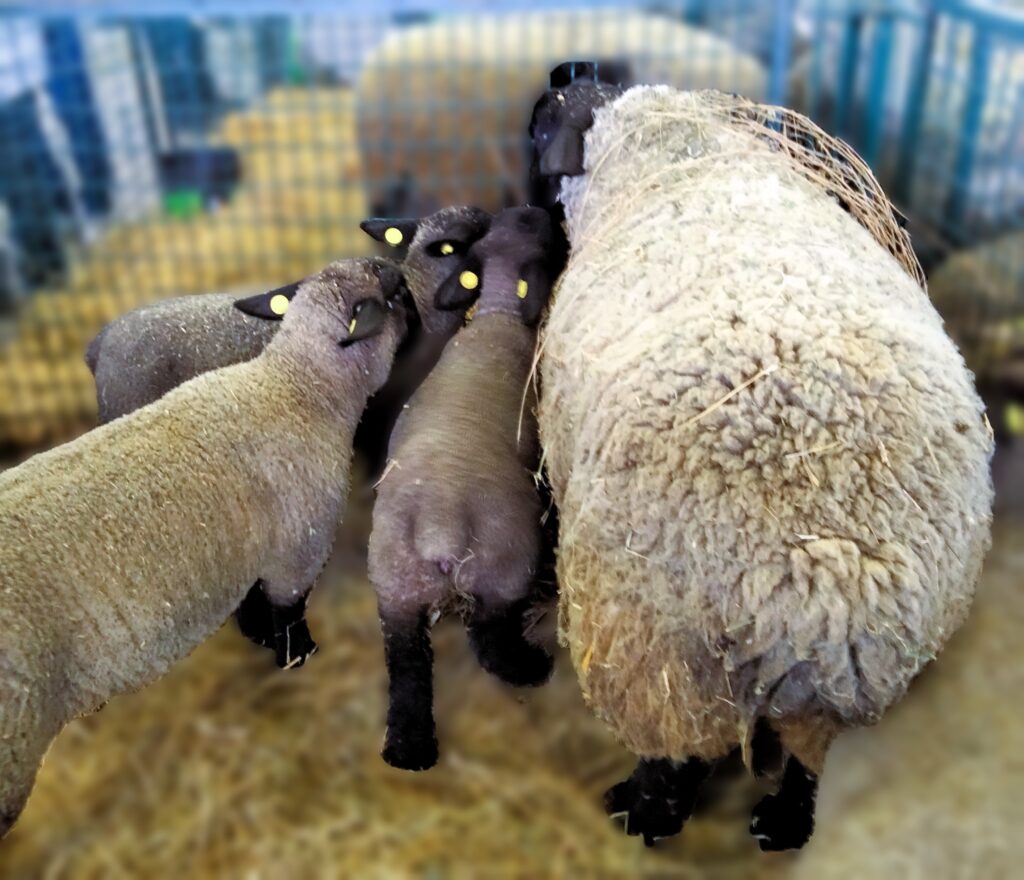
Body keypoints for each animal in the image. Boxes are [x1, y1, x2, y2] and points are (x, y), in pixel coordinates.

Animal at [0, 257, 406, 840]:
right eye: (393, 294)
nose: (401, 276)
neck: (295, 387)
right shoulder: (299, 548)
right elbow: (288, 612)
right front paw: (296, 656)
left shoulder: (259, 551)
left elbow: (256, 603)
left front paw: (258, 637)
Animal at [367, 206, 558, 771]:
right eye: (536, 229)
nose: (536, 209)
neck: (495, 312)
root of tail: (439, 527)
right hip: (503, 570)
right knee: (491, 641)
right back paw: (533, 667)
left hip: (397, 593)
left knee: (407, 669)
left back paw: (408, 752)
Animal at [530, 81, 994, 849]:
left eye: (544, 124)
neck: (670, 148)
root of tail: (824, 576)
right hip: (834, 682)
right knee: (808, 754)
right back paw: (781, 823)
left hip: (656, 650)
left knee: (676, 750)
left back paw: (644, 811)